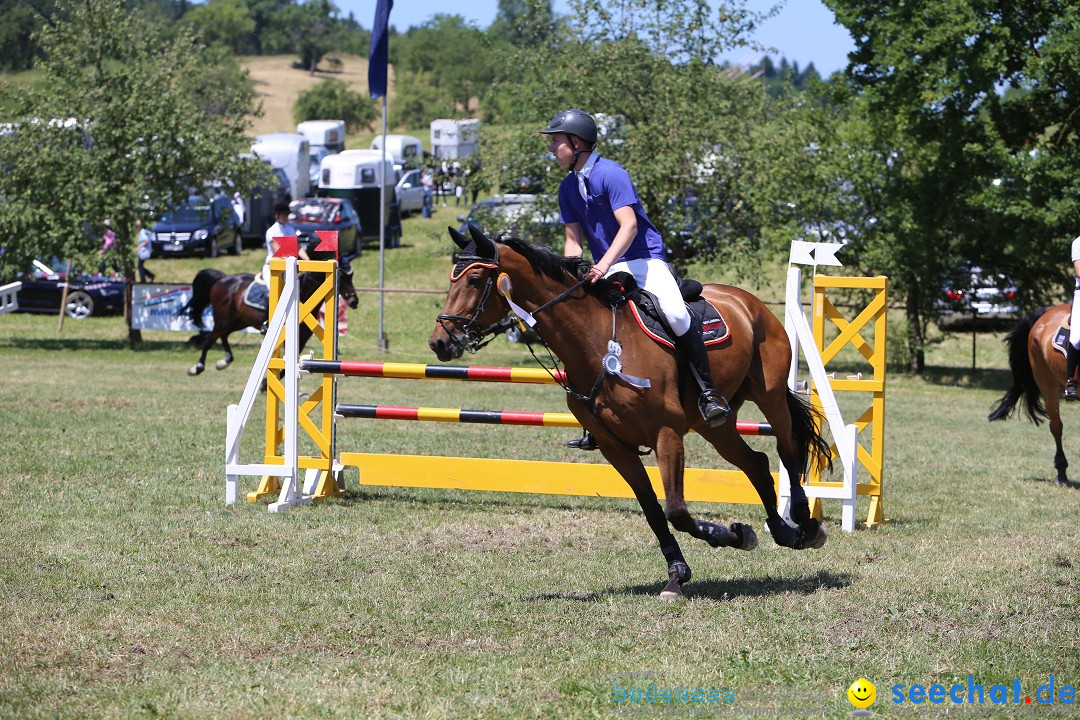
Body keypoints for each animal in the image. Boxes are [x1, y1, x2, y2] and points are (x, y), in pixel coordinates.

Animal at [179, 252, 358, 375]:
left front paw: (265, 386)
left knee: (223, 336)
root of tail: (223, 278)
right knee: (210, 340)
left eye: (352, 276)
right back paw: (198, 367)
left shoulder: (301, 340)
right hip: (223, 319)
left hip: (238, 321)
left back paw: (225, 361)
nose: (354, 301)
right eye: (342, 276)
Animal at [425, 227, 829, 600]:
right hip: (714, 424)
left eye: (475, 280)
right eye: (452, 280)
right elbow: (654, 510)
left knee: (787, 447)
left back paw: (805, 525)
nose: (440, 342)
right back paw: (782, 532)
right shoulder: (614, 447)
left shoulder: (666, 433)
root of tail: (746, 300)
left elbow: (676, 510)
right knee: (756, 463)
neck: (595, 341)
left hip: (770, 395)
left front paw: (723, 535)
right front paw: (682, 571)